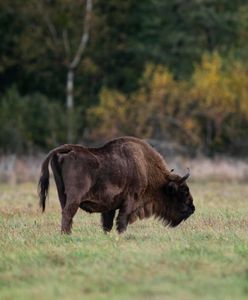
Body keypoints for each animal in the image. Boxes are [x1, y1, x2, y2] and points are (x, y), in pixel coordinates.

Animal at [37, 137, 195, 234]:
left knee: (66, 215)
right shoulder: (130, 201)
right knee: (68, 214)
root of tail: (67, 150)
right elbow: (122, 221)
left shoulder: (110, 207)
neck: (145, 167)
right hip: (74, 198)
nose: (192, 209)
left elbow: (107, 224)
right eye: (183, 190)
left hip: (62, 195)